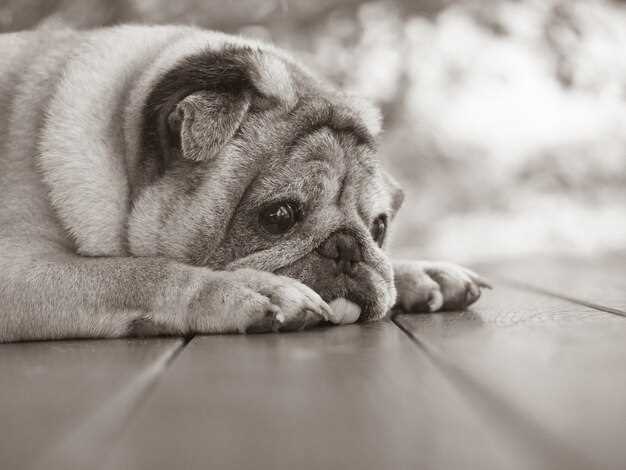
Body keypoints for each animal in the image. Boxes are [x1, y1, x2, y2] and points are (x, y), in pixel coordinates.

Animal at [0, 24, 488, 342]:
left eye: (380, 228)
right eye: (279, 216)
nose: (346, 247)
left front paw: (420, 273)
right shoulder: (18, 269)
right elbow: (136, 272)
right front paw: (244, 289)